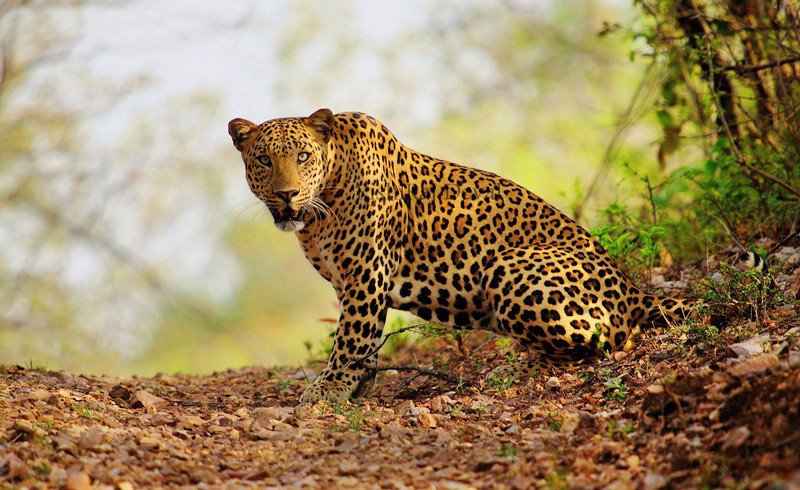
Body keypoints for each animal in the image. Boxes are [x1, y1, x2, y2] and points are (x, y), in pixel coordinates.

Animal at [228, 109, 696, 404]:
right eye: (264, 160)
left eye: (303, 156)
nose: (286, 194)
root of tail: (633, 289)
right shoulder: (349, 282)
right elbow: (367, 342)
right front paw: (357, 390)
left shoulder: (365, 276)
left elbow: (350, 339)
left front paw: (328, 390)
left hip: (511, 268)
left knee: (601, 343)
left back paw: (512, 371)